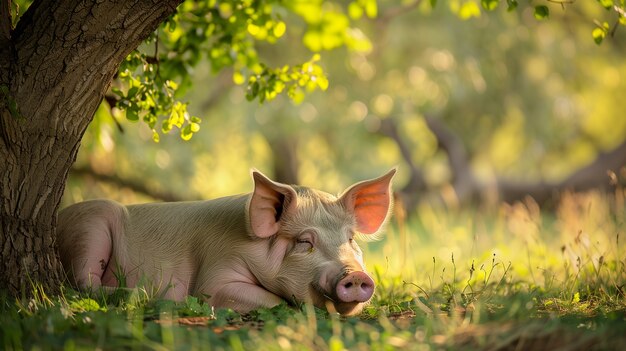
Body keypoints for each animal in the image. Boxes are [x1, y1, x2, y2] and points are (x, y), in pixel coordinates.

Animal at [56, 169, 392, 318]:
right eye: (304, 241)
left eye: (350, 238)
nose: (356, 275)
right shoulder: (217, 272)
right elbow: (274, 301)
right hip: (90, 228)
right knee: (81, 284)